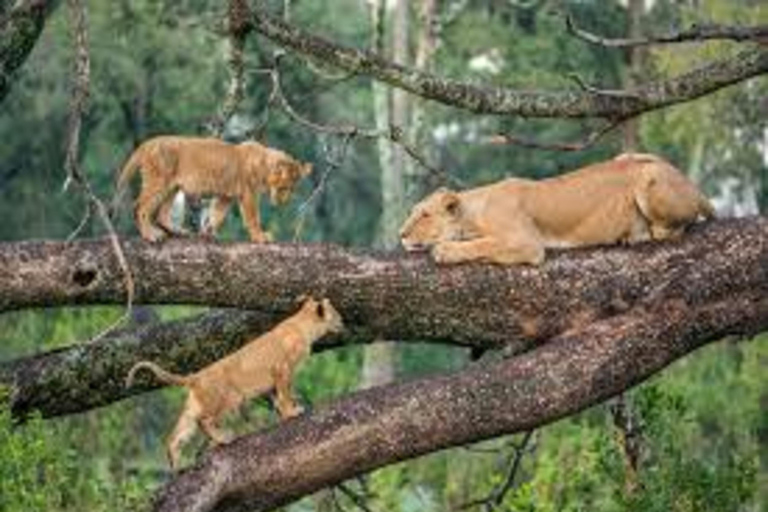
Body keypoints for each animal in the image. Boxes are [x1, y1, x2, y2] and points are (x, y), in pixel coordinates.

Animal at [115, 134, 312, 242]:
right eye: (283, 187)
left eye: (292, 189)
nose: (283, 202)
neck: (263, 165)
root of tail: (149, 142)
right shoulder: (248, 193)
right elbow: (252, 218)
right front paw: (260, 237)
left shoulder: (226, 196)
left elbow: (217, 214)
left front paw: (208, 232)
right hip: (158, 181)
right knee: (139, 207)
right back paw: (150, 235)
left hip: (172, 187)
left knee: (162, 213)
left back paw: (178, 231)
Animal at [126, 296, 342, 468]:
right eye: (337, 314)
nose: (344, 323)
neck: (303, 324)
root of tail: (195, 376)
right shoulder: (282, 369)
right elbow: (284, 393)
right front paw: (292, 412)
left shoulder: (276, 376)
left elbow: (277, 396)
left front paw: (284, 413)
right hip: (227, 399)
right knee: (204, 421)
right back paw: (223, 439)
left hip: (194, 407)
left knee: (176, 435)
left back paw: (178, 464)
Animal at [400, 151, 716, 264]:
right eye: (411, 212)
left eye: (424, 214)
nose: (401, 235)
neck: (474, 210)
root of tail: (694, 187)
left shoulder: (527, 243)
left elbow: (484, 244)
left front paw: (445, 250)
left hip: (647, 177)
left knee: (671, 230)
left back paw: (635, 235)